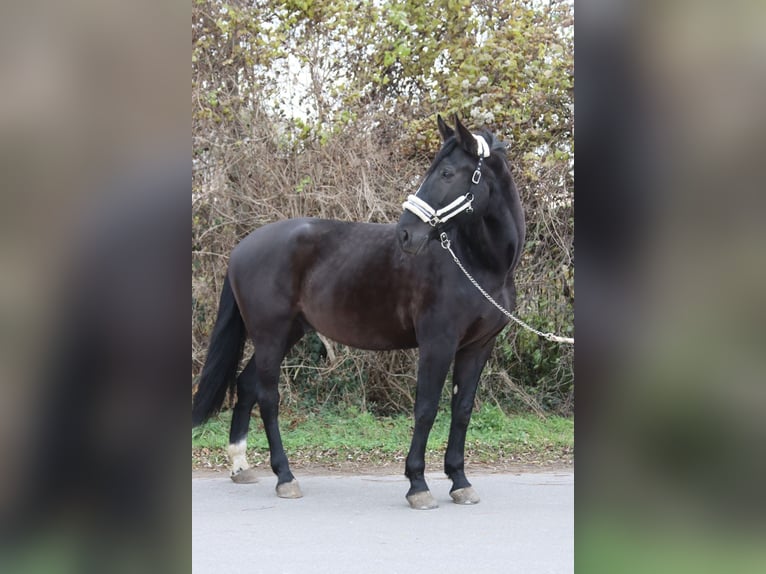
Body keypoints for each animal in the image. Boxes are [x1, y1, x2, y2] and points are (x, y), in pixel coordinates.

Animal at [192, 115, 528, 510]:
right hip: (270, 335)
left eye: (447, 173)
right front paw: (418, 484)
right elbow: (426, 408)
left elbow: (462, 410)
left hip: (286, 333)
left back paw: (240, 464)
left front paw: (459, 481)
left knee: (246, 386)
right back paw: (285, 477)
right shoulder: (438, 343)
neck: (477, 264)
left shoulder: (477, 347)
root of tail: (242, 247)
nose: (405, 234)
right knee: (268, 397)